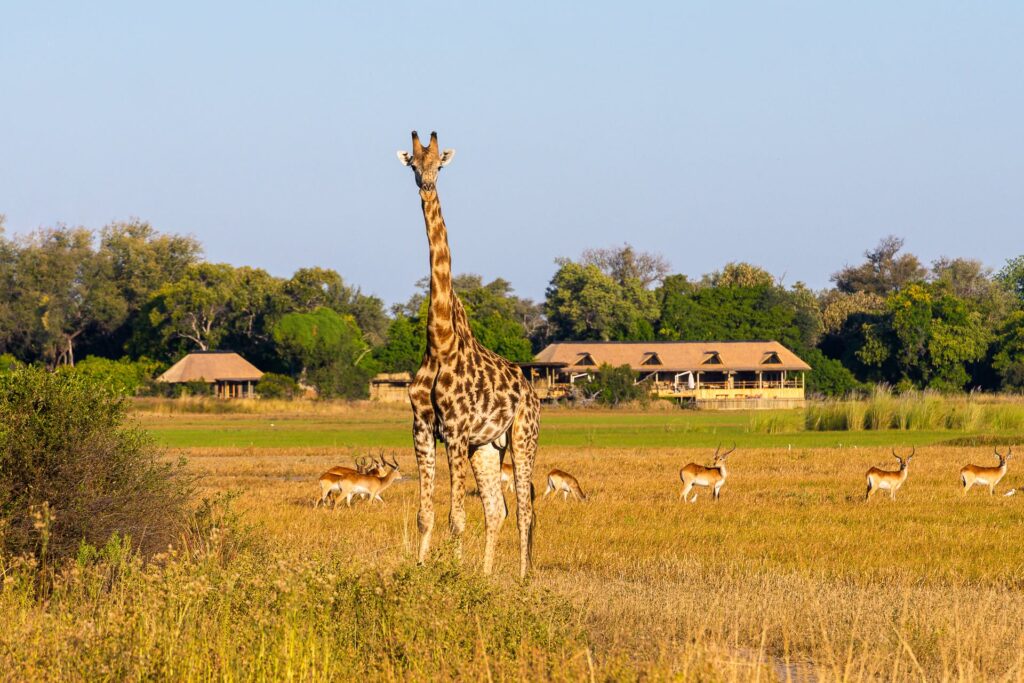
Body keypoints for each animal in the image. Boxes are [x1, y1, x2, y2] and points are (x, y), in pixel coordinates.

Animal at [397, 131, 540, 578]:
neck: (439, 341)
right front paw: (423, 569)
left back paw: (522, 578)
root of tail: (532, 391)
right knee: (498, 509)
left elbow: (456, 518)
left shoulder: (456, 431)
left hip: (523, 435)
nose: (426, 185)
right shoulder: (423, 428)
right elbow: (426, 515)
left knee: (525, 510)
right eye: (413, 164)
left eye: (438, 165)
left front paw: (452, 574)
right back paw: (487, 574)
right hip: (488, 447)